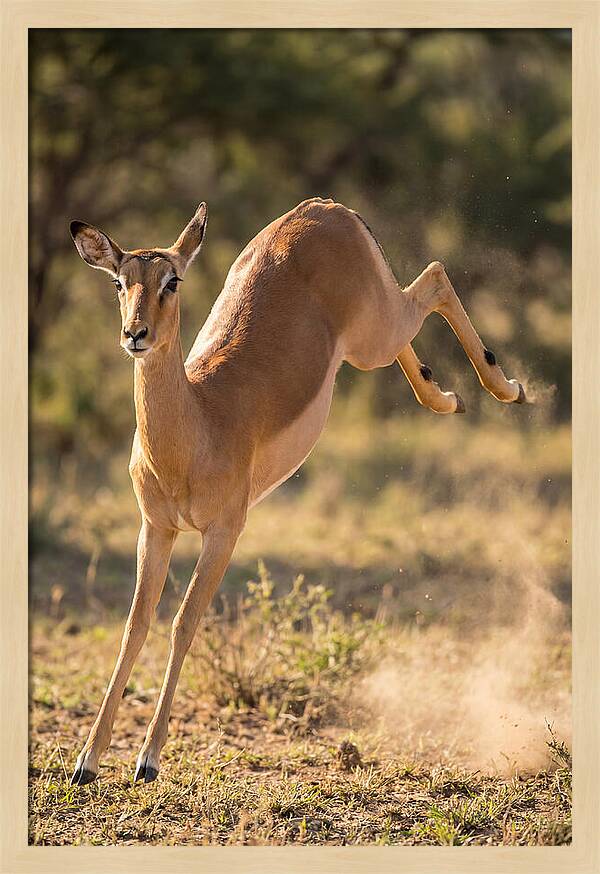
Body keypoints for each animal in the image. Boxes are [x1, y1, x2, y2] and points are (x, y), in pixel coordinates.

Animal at [69, 197, 526, 785]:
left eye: (172, 280)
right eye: (119, 281)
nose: (135, 334)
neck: (197, 424)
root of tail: (325, 207)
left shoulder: (224, 531)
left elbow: (183, 622)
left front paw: (147, 759)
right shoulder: (157, 528)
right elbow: (134, 626)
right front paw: (87, 759)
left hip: (374, 333)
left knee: (436, 276)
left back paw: (507, 388)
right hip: (370, 340)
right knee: (420, 314)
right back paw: (447, 397)